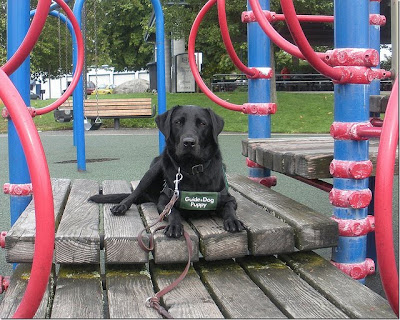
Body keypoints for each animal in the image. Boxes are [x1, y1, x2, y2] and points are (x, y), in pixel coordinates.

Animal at [88, 105, 244, 238]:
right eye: (178, 122)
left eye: (202, 124)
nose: (189, 142)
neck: (191, 168)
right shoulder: (164, 200)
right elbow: (172, 211)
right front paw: (174, 226)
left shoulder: (229, 198)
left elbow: (229, 208)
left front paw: (233, 220)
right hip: (153, 170)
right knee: (135, 192)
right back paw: (121, 205)